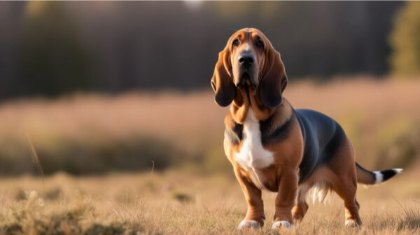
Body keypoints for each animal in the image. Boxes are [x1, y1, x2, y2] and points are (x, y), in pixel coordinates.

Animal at [212, 28, 402, 229]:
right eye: (235, 42)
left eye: (259, 44)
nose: (245, 59)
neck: (251, 115)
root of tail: (339, 127)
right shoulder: (242, 174)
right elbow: (253, 199)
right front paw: (252, 221)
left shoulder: (288, 171)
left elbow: (282, 199)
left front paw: (281, 222)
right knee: (303, 205)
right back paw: (295, 222)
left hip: (344, 179)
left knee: (352, 202)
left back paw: (352, 222)